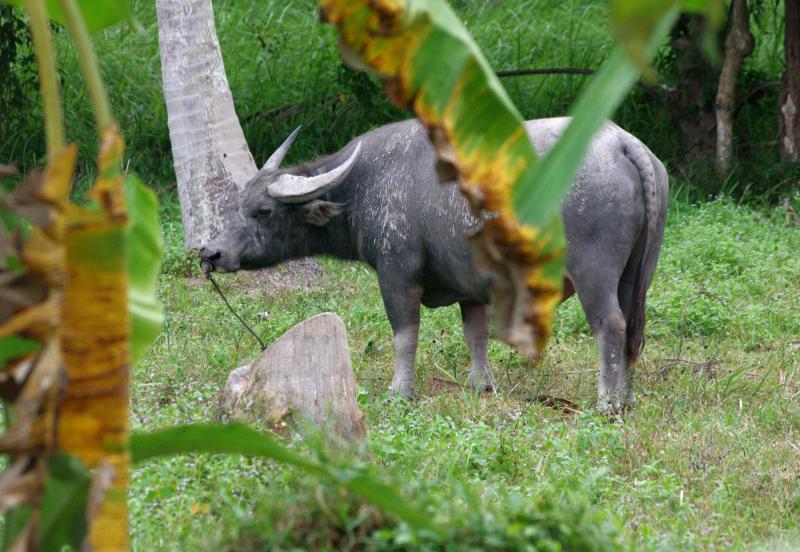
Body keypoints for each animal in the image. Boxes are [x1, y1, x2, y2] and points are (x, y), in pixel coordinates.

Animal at [202, 117, 668, 410]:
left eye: (263, 211)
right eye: (238, 204)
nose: (211, 253)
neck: (365, 183)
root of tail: (623, 143)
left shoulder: (396, 275)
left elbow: (404, 335)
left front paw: (400, 392)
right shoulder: (471, 287)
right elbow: (476, 335)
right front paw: (482, 386)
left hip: (595, 273)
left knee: (611, 325)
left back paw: (606, 402)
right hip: (637, 274)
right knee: (633, 328)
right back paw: (626, 398)